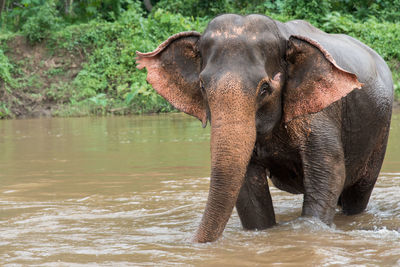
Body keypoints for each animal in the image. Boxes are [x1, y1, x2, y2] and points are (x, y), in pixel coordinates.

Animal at [135, 15, 394, 245]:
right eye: (202, 86)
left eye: (265, 88)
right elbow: (247, 186)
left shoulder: (320, 114)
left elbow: (328, 174)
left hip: (381, 132)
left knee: (357, 193)